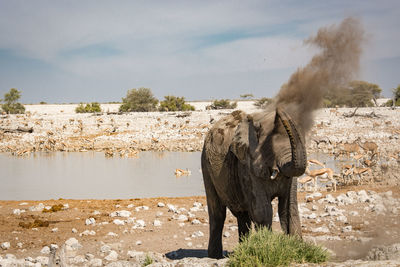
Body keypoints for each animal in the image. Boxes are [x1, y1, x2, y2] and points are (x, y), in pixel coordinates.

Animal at [202, 106, 308, 260]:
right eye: (269, 146)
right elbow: (262, 211)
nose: (279, 109)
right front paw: (268, 250)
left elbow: (289, 207)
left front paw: (298, 250)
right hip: (205, 165)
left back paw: (242, 250)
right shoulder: (247, 165)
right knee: (218, 214)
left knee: (243, 216)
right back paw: (215, 257)